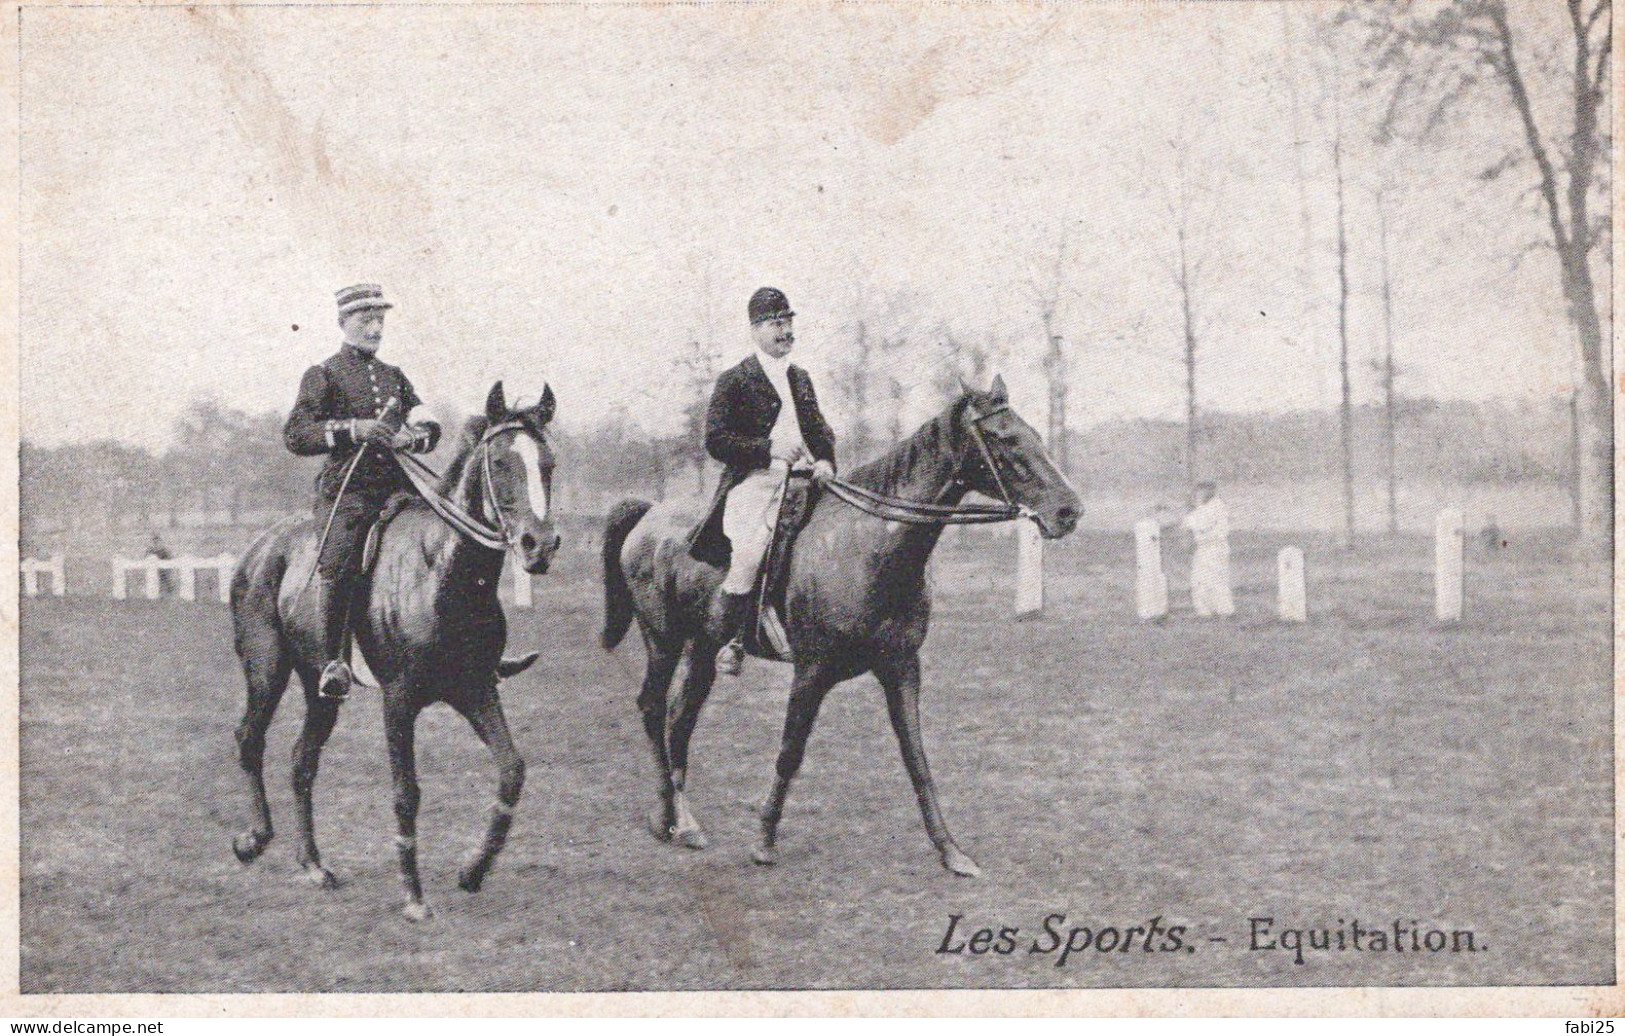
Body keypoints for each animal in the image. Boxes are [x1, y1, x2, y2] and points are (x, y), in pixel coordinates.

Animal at [229, 386, 559, 922]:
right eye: (500, 462)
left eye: (547, 463)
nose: (540, 546)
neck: (444, 571)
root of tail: (259, 549)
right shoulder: (398, 700)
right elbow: (406, 794)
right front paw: (413, 896)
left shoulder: (475, 689)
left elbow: (512, 771)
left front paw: (473, 870)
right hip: (266, 670)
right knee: (250, 739)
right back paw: (254, 840)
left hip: (318, 686)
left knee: (302, 760)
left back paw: (313, 865)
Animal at [598, 373, 1079, 876]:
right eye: (1004, 438)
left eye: (1036, 434)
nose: (1069, 511)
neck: (866, 546)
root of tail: (650, 513)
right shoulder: (812, 671)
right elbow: (790, 752)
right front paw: (764, 841)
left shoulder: (902, 667)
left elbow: (916, 757)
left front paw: (951, 850)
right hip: (663, 640)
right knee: (653, 709)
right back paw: (667, 816)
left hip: (702, 647)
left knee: (680, 718)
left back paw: (682, 822)